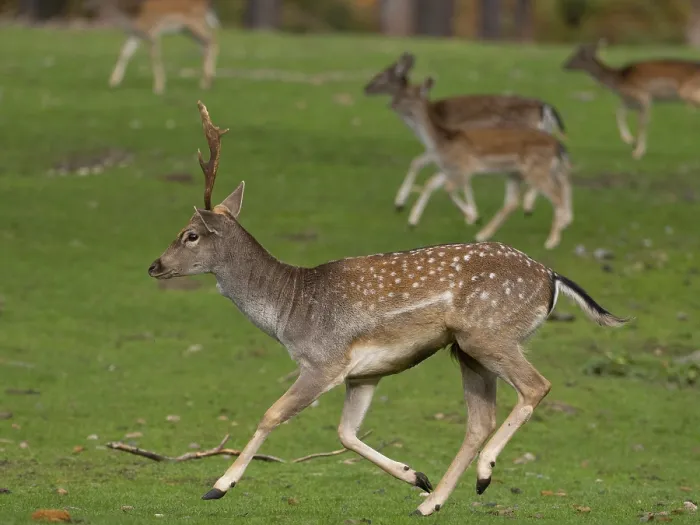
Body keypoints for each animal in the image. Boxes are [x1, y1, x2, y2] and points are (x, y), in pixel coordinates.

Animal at [88, 0, 219, 94]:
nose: (89, 7)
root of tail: (207, 5)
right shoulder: (135, 34)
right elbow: (124, 53)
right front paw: (113, 82)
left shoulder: (152, 32)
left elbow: (154, 57)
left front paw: (159, 88)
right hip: (186, 30)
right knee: (204, 45)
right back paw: (206, 81)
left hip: (196, 23)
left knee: (211, 41)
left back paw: (207, 82)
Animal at [147, 101, 629, 517]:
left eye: (190, 234)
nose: (155, 266)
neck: (289, 311)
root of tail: (553, 279)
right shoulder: (363, 373)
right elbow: (345, 434)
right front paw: (416, 476)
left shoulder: (324, 361)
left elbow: (272, 414)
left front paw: (218, 486)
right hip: (467, 350)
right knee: (479, 420)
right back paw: (432, 501)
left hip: (488, 334)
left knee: (536, 386)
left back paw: (484, 473)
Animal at [364, 52, 567, 217]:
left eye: (384, 74)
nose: (366, 88)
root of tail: (546, 108)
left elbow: (418, 162)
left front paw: (399, 203)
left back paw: (529, 205)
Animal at [389, 77, 573, 250]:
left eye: (407, 95)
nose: (392, 104)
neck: (442, 141)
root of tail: (558, 145)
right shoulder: (449, 169)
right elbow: (433, 184)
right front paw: (412, 220)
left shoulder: (461, 168)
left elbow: (450, 188)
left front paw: (472, 216)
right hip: (517, 172)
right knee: (515, 201)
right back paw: (483, 234)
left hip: (536, 170)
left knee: (556, 195)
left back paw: (551, 240)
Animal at [563, 40, 700, 159]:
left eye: (577, 55)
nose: (564, 65)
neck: (618, 81)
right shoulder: (630, 101)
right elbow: (619, 113)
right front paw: (632, 142)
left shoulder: (644, 96)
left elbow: (642, 123)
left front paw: (637, 152)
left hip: (686, 92)